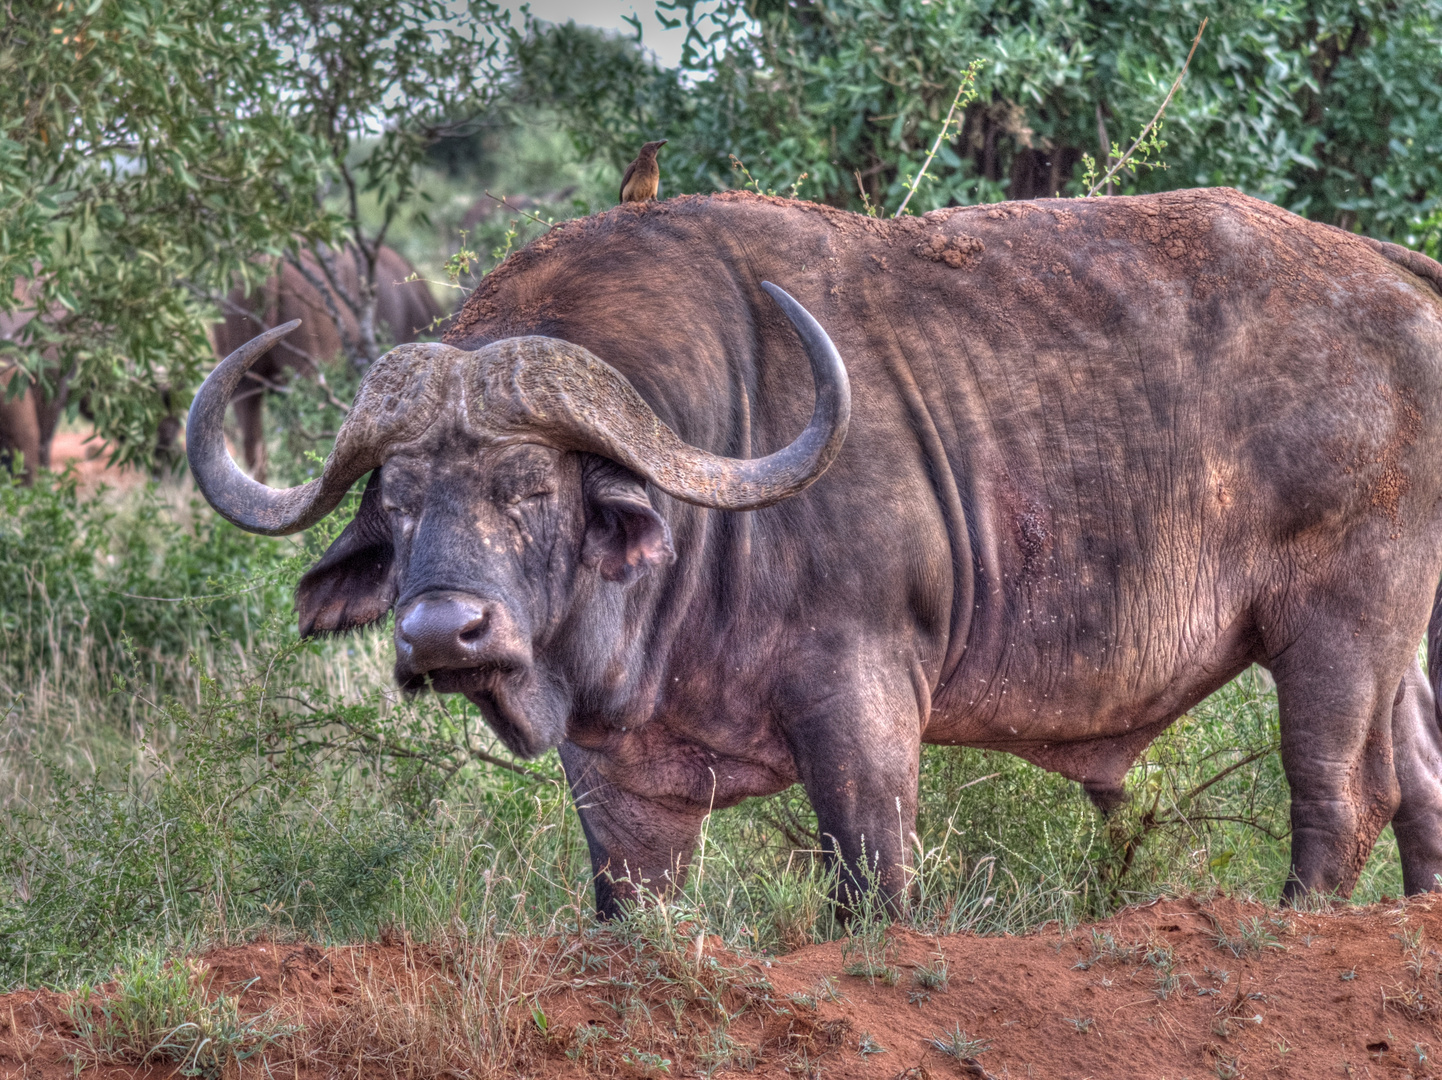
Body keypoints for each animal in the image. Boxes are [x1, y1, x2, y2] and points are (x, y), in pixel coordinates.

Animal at [186, 188, 1442, 917]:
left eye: (530, 488)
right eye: (397, 503)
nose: (442, 632)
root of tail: (1392, 272)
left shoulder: (863, 706)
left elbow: (870, 882)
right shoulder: (616, 784)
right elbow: (630, 907)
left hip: (1337, 631)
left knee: (1343, 794)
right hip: (1404, 649)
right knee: (1420, 779)